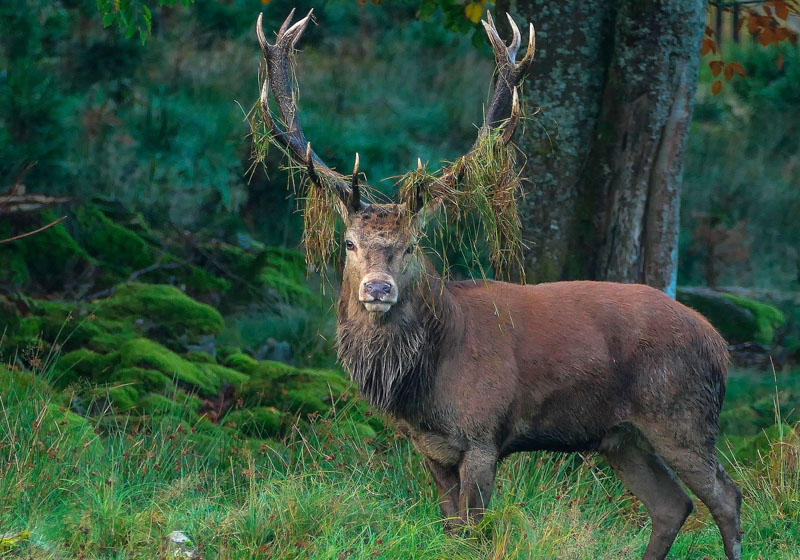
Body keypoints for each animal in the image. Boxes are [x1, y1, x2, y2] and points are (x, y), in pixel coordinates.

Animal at [255, 10, 742, 560]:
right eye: (349, 243)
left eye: (413, 244)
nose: (377, 290)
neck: (425, 380)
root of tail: (718, 343)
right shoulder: (430, 447)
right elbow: (448, 529)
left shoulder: (484, 435)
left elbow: (474, 530)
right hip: (623, 436)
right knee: (672, 505)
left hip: (682, 414)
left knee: (726, 497)